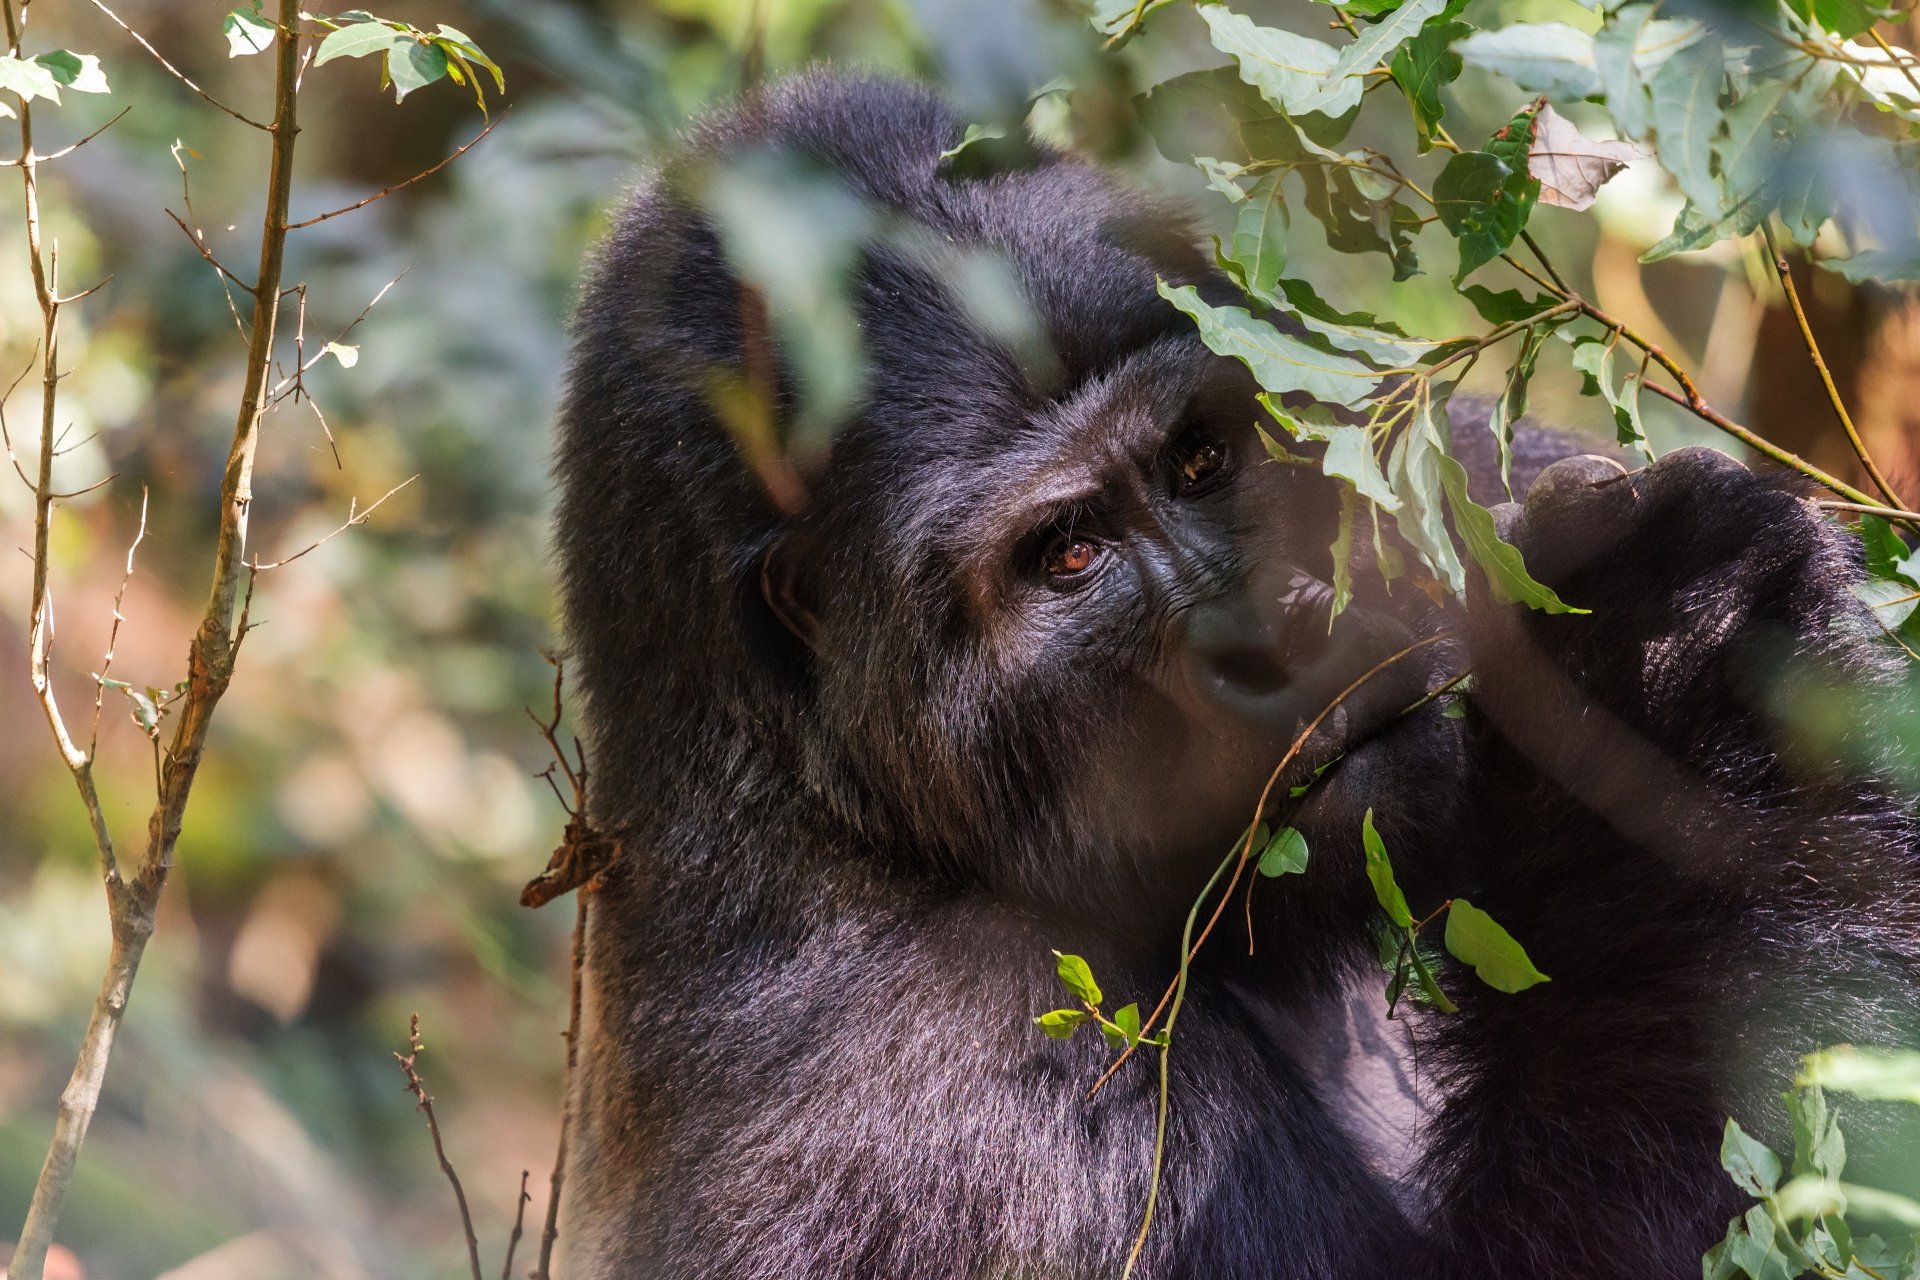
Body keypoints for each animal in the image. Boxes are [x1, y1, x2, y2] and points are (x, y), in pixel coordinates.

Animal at [550, 71, 1920, 1278]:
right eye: (1068, 553)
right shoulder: (971, 1083)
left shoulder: (1456, 467)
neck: (827, 800)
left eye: (1201, 457)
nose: (1279, 632)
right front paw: (1677, 684)